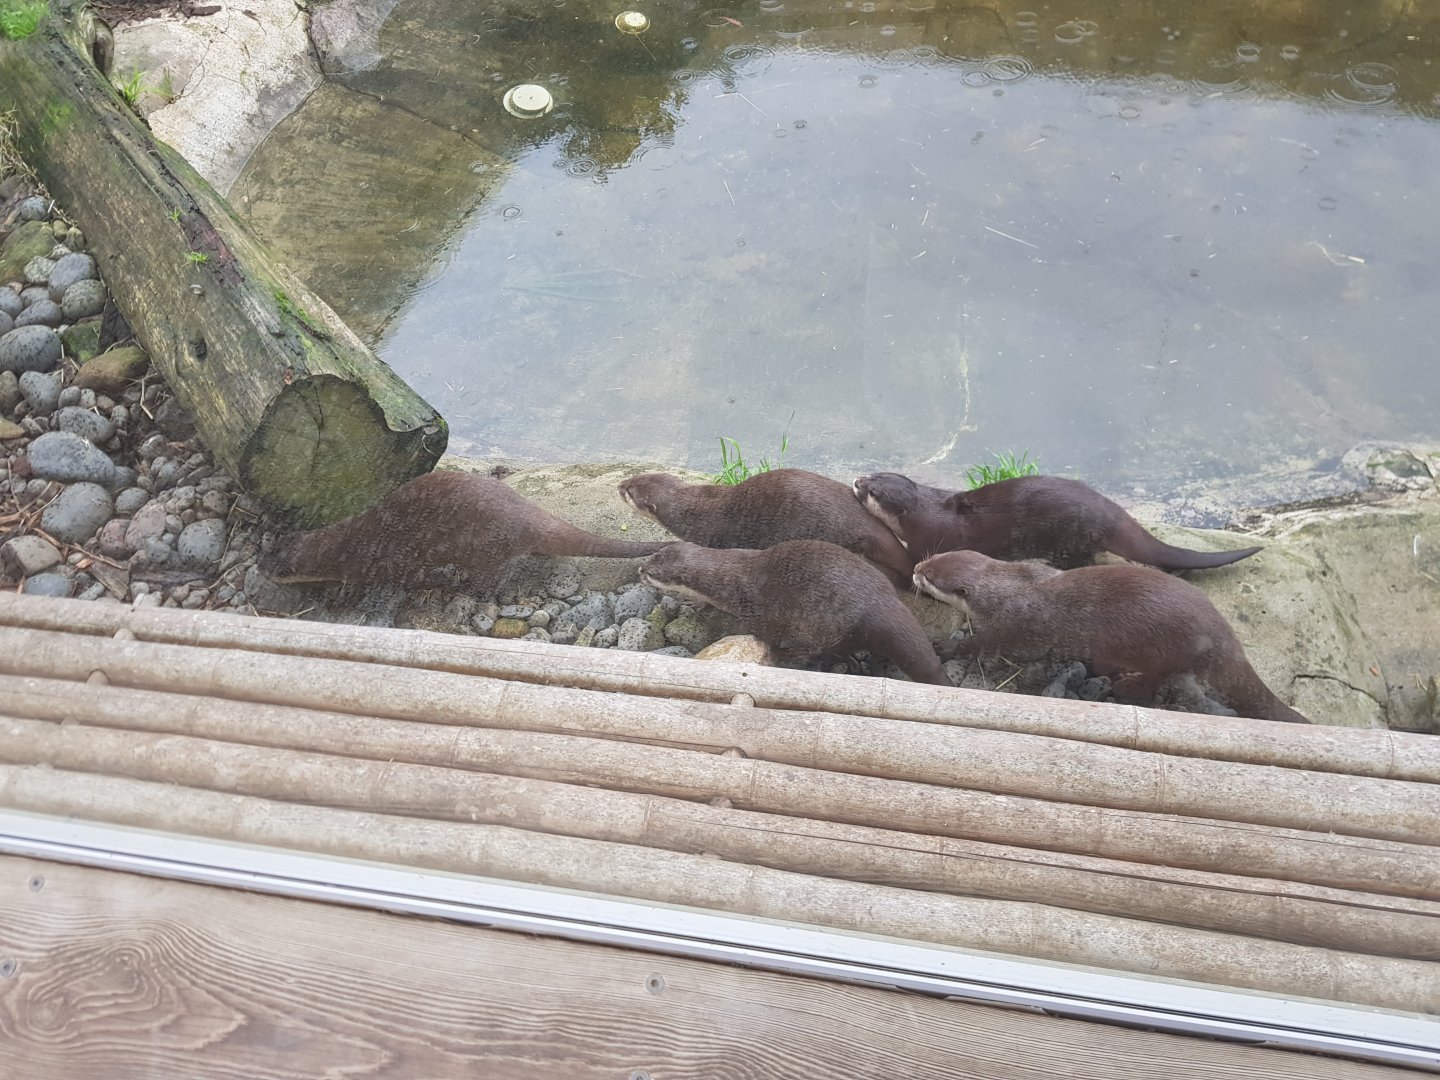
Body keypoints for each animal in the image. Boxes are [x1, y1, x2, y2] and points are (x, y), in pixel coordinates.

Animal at [260, 471, 669, 591]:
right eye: (270, 548)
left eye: (280, 570)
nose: (259, 569)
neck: (345, 544)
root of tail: (525, 513)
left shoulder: (377, 566)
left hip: (481, 547)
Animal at [640, 540, 952, 686]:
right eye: (654, 556)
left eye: (654, 573)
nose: (641, 569)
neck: (728, 578)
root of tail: (879, 603)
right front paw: (696, 604)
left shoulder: (750, 605)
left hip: (828, 625)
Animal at [912, 550, 1310, 723]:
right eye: (934, 556)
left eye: (930, 577)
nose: (915, 567)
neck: (1010, 589)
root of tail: (1222, 632)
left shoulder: (1011, 625)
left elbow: (980, 645)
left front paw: (946, 646)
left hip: (1168, 650)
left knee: (1157, 679)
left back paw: (1123, 686)